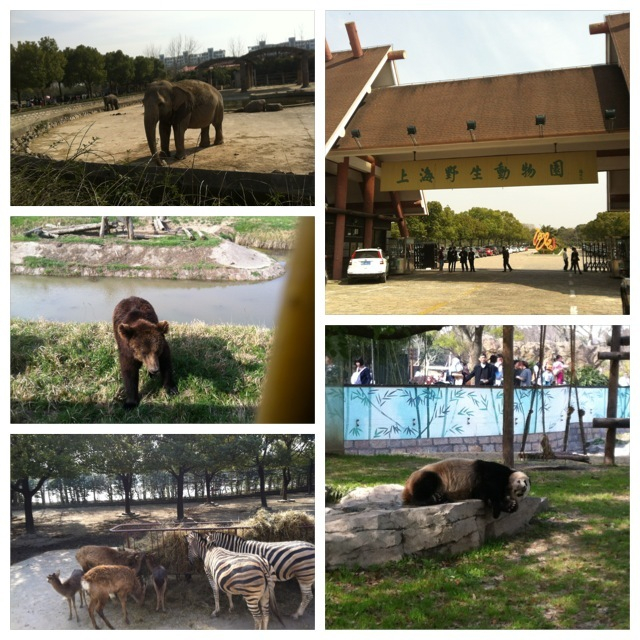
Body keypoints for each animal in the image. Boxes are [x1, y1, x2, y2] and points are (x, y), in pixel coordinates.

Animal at [400, 458, 528, 516]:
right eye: (521, 481)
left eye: (527, 484)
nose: (524, 487)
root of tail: (406, 488)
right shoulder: (492, 471)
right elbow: (491, 488)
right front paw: (503, 506)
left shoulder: (476, 489)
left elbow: (484, 494)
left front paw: (511, 505)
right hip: (429, 475)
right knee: (427, 480)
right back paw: (428, 499)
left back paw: (440, 498)